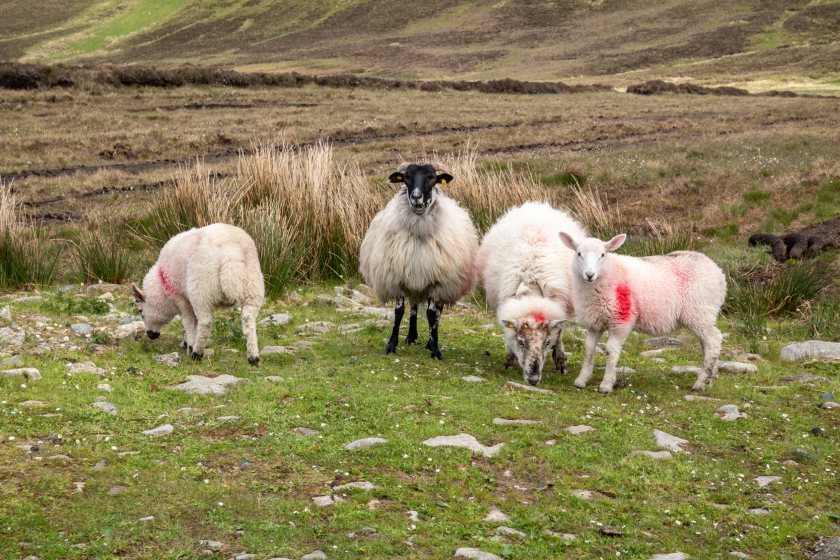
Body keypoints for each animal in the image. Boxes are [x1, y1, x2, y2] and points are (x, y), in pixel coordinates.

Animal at [131, 223, 265, 365]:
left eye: (141, 311)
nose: (151, 335)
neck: (162, 290)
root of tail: (231, 254)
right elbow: (194, 322)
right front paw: (186, 342)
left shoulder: (181, 298)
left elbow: (189, 322)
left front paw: (189, 344)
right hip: (253, 287)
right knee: (249, 322)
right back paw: (253, 358)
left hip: (201, 290)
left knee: (205, 323)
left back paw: (197, 353)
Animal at [359, 163, 478, 359]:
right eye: (406, 178)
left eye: (432, 178)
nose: (416, 198)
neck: (419, 230)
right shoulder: (398, 276)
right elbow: (399, 312)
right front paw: (392, 344)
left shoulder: (437, 281)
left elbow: (431, 314)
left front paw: (435, 348)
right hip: (414, 278)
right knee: (414, 306)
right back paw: (411, 336)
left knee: (437, 312)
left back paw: (430, 340)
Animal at [475, 202, 586, 385]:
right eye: (521, 342)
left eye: (547, 342)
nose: (533, 379)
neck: (532, 294)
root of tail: (537, 205)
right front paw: (510, 358)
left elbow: (558, 334)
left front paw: (560, 360)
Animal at [558, 232, 726, 393]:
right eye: (579, 254)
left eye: (603, 254)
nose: (589, 274)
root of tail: (719, 274)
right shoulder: (595, 322)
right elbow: (588, 350)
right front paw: (581, 380)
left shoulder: (621, 320)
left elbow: (611, 351)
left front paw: (606, 385)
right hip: (703, 314)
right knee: (707, 344)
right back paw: (709, 380)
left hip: (699, 311)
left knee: (713, 340)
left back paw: (700, 383)